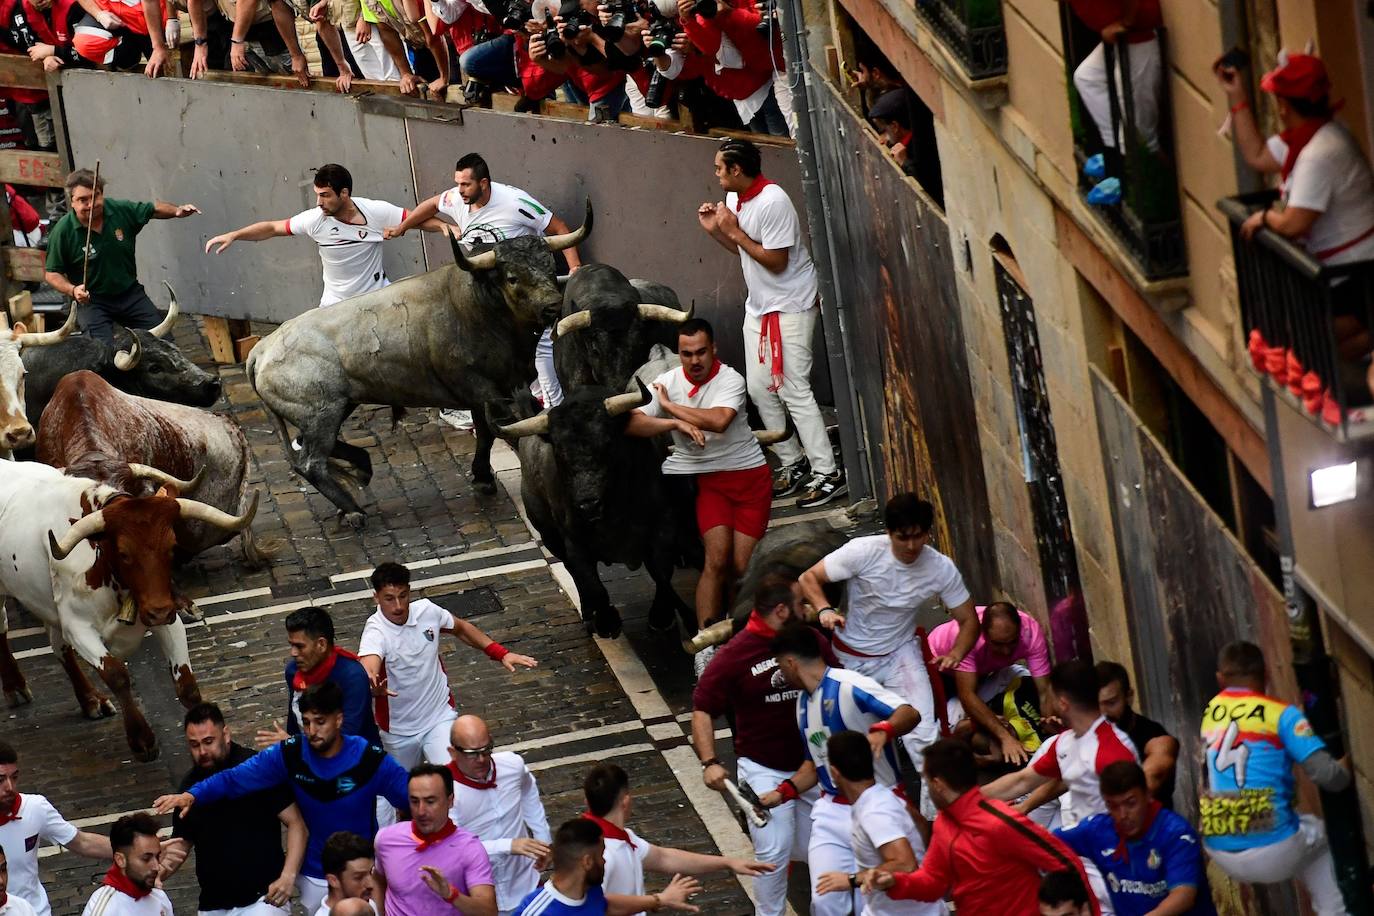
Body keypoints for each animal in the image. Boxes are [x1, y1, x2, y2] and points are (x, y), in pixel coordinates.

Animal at [0, 458, 258, 758]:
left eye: (172, 547)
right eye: (124, 553)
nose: (159, 611)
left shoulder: (165, 615)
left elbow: (186, 684)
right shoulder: (78, 628)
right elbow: (116, 674)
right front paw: (142, 739)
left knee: (58, 646)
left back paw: (91, 700)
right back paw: (15, 687)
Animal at [247, 204, 590, 527]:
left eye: (549, 266)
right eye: (512, 277)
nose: (552, 306)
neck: (478, 303)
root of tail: (262, 349)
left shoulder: (496, 390)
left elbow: (486, 433)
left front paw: (481, 477)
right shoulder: (485, 390)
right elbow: (503, 429)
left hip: (335, 408)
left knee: (309, 445)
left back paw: (362, 468)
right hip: (322, 414)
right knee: (310, 462)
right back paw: (354, 509)